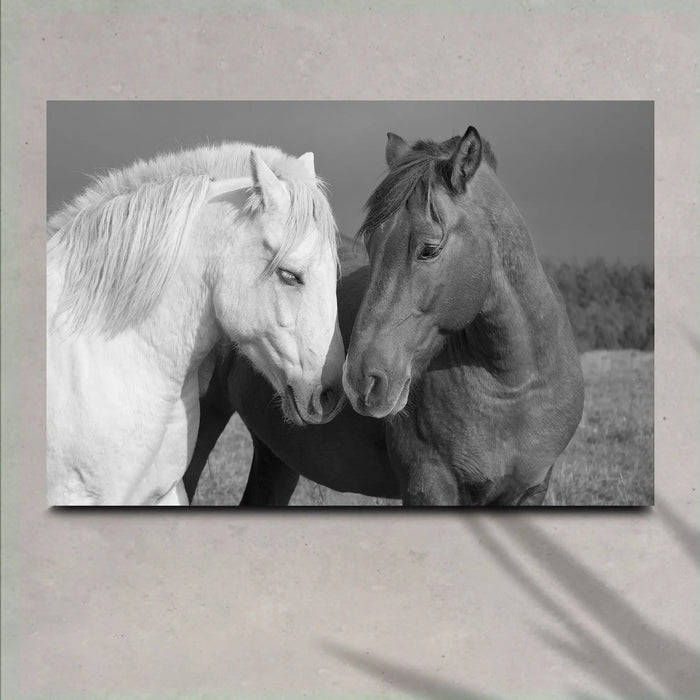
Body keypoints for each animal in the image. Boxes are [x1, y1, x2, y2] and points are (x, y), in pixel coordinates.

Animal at [185, 126, 584, 506]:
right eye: (371, 244)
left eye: (429, 249)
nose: (361, 381)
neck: (513, 385)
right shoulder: (429, 485)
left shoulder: (529, 490)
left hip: (277, 455)